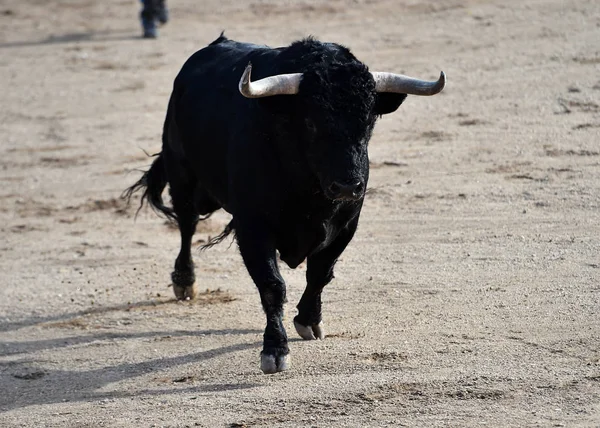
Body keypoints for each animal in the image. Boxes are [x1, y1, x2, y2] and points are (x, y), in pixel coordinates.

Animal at [124, 35, 446, 372]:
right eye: (310, 122)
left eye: (369, 120)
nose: (348, 186)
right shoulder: (253, 227)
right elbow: (272, 284)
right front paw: (275, 349)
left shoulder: (346, 224)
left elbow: (320, 273)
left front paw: (309, 320)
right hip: (182, 175)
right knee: (186, 226)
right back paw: (185, 282)